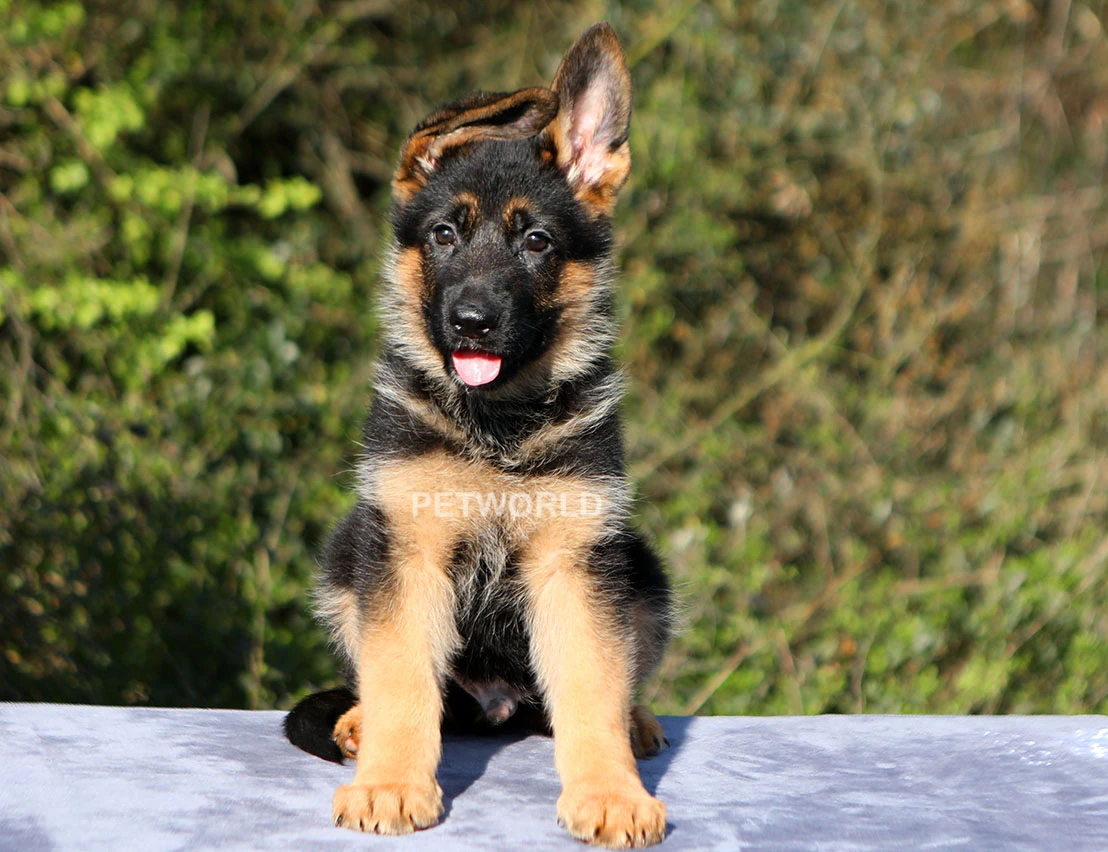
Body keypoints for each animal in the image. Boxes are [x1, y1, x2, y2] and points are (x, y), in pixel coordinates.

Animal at [283, 22, 673, 848]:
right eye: (442, 235)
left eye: (537, 242)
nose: (471, 323)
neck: (497, 426)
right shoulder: (407, 553)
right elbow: (401, 680)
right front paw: (392, 783)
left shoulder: (575, 563)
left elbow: (592, 687)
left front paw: (611, 793)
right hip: (349, 550)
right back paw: (359, 725)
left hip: (641, 567)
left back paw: (637, 721)